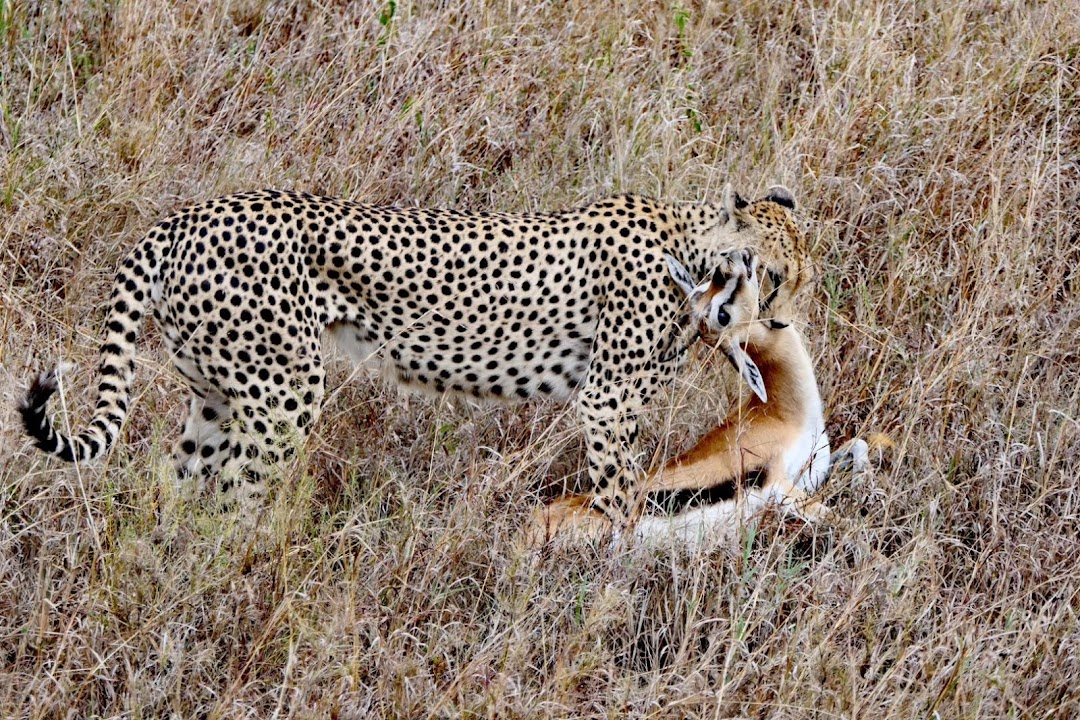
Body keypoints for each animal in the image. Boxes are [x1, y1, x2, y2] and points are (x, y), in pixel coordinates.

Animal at [19, 183, 803, 526]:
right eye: (771, 273)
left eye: (792, 278)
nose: (777, 321)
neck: (689, 251)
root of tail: (185, 215)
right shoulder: (606, 404)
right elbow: (623, 497)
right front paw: (624, 573)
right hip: (282, 393)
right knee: (236, 494)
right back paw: (244, 572)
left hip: (215, 389)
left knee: (176, 483)